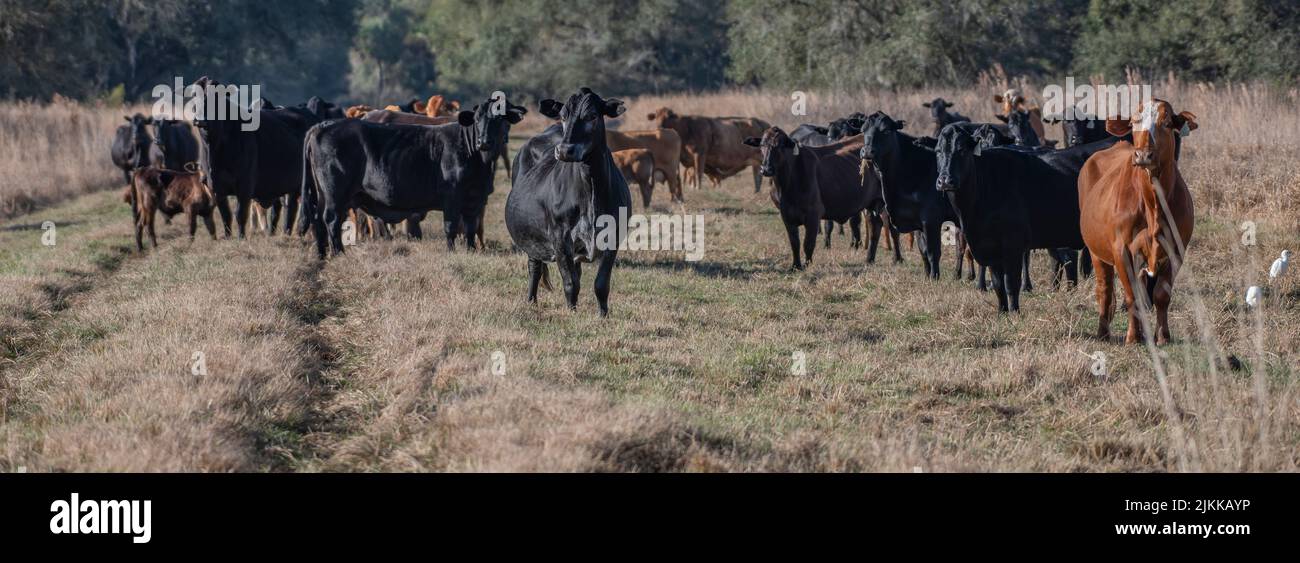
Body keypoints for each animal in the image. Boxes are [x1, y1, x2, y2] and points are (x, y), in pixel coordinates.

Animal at [302, 94, 522, 256]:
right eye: (477, 119)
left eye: (499, 119)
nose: (483, 141)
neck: (478, 159)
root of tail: (322, 125)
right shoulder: (452, 196)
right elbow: (451, 226)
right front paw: (451, 251)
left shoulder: (475, 198)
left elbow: (471, 227)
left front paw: (471, 250)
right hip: (335, 193)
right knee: (331, 219)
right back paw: (338, 253)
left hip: (324, 194)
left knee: (318, 219)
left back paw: (322, 253)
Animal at [504, 86, 631, 315]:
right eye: (563, 116)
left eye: (592, 115)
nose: (564, 150)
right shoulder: (560, 237)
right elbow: (570, 283)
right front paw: (572, 313)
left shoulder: (613, 237)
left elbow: (601, 284)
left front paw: (603, 315)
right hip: (531, 237)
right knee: (534, 267)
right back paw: (531, 302)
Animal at [930, 126, 1123, 312]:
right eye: (938, 151)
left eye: (961, 150)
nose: (945, 180)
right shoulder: (989, 246)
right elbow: (998, 284)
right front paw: (1002, 312)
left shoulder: (1013, 244)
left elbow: (1010, 284)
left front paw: (1015, 312)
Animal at [1076, 99, 1196, 343]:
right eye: (1133, 123)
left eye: (1167, 123)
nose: (1142, 156)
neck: (1153, 206)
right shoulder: (1121, 250)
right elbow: (1132, 295)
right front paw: (1133, 337)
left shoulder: (1176, 250)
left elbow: (1161, 295)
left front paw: (1163, 336)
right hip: (1096, 252)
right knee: (1105, 290)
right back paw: (1103, 332)